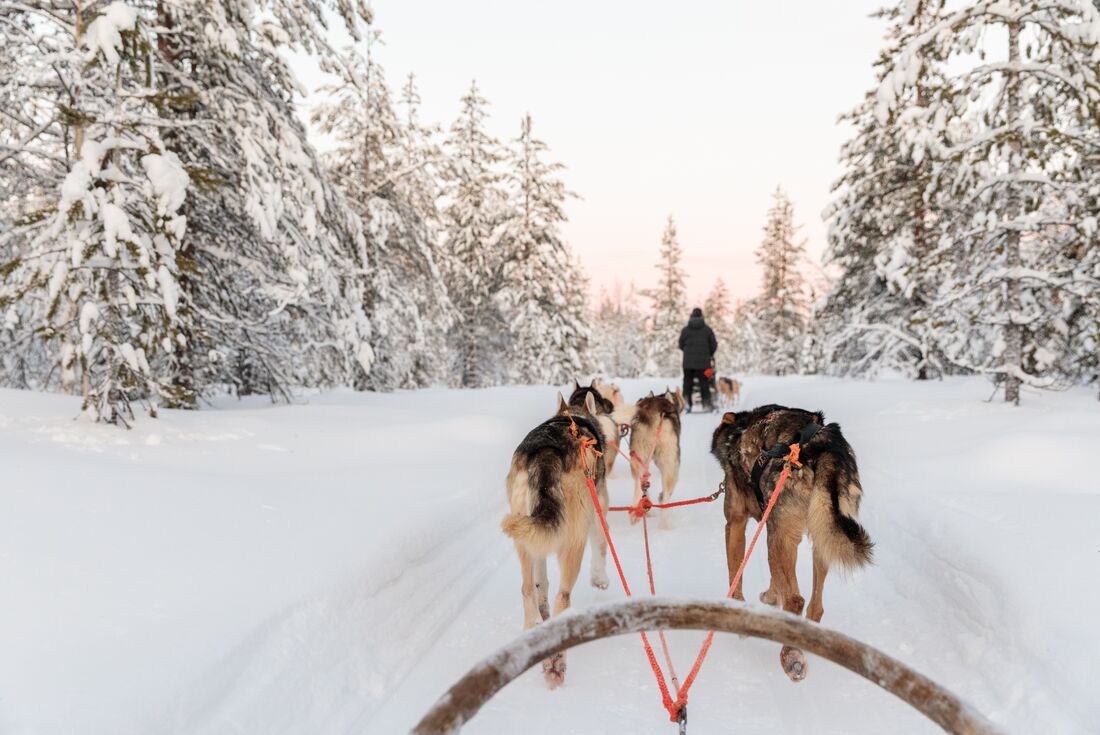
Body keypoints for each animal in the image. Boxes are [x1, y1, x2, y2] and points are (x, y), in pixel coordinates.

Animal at [503, 389, 611, 690]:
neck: (573, 415)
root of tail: (546, 449)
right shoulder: (598, 512)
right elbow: (601, 546)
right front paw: (600, 578)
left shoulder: (539, 541)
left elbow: (541, 585)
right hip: (574, 542)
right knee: (563, 598)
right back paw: (557, 664)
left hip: (523, 536)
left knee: (528, 589)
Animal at [712, 407, 875, 677]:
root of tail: (824, 447)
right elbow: (774, 579)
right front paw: (770, 596)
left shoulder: (735, 523)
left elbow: (735, 573)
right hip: (820, 533)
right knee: (815, 606)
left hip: (781, 535)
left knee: (795, 600)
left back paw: (790, 655)